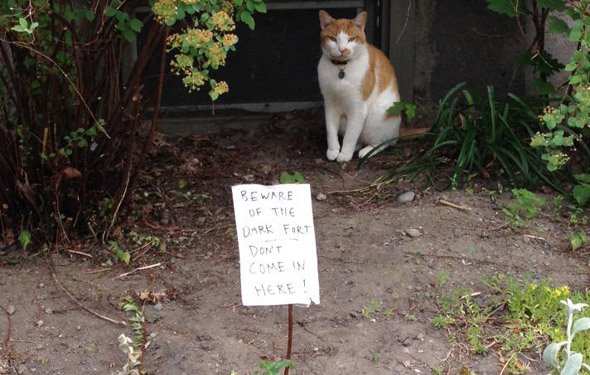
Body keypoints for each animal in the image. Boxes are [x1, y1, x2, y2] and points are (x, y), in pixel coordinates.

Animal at [322, 10, 404, 162]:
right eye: (333, 39)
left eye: (351, 39)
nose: (342, 49)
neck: (342, 69)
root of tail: (398, 131)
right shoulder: (329, 104)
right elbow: (330, 130)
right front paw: (333, 150)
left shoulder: (358, 108)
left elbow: (351, 134)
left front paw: (345, 154)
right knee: (360, 139)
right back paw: (356, 147)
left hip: (378, 115)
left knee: (383, 142)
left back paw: (367, 151)